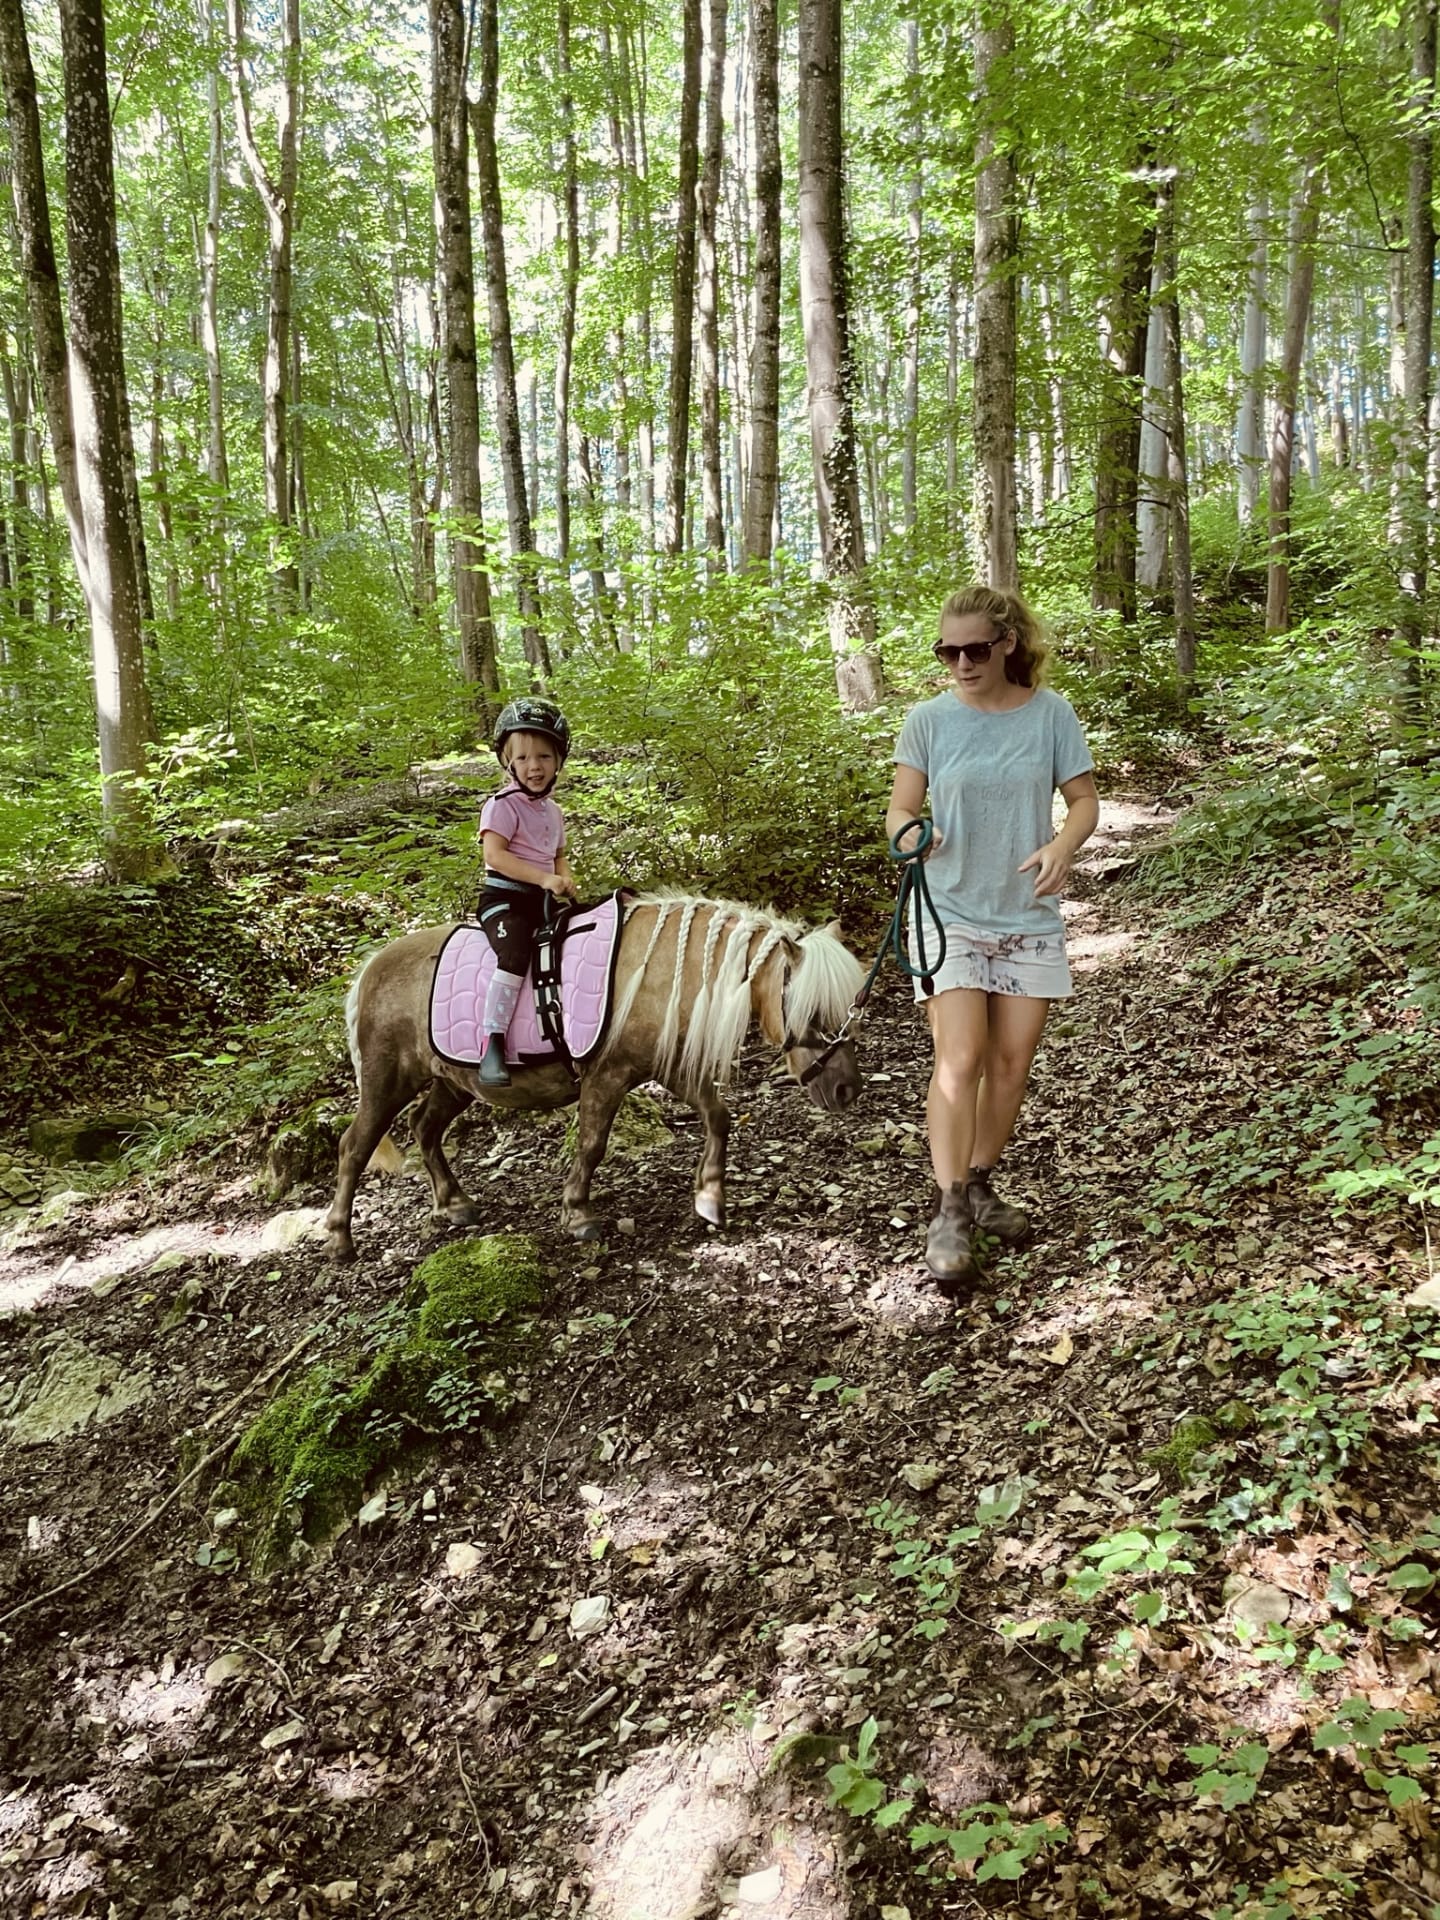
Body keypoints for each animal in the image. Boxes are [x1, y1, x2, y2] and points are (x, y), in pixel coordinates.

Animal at [325, 893, 866, 1261]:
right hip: (386, 1080)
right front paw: (578, 1213)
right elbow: (592, 1144)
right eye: (813, 1010)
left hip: (454, 1081)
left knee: (424, 1127)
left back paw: (454, 1204)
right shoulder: (607, 1076)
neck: (653, 970)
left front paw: (711, 1197)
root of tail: (369, 969)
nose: (847, 1090)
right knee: (354, 1145)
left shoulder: (668, 1067)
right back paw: (339, 1239)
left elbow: (718, 1117)